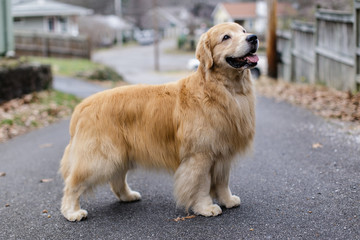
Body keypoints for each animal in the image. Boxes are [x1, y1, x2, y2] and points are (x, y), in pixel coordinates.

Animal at [61, 22, 258, 221]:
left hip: (120, 155)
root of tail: (82, 106)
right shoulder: (200, 155)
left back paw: (127, 196)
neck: (222, 90)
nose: (253, 38)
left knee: (117, 180)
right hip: (100, 158)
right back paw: (72, 211)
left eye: (243, 31)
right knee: (73, 184)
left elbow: (223, 182)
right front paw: (206, 207)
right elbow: (201, 184)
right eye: (226, 37)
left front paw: (228, 200)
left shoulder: (223, 153)